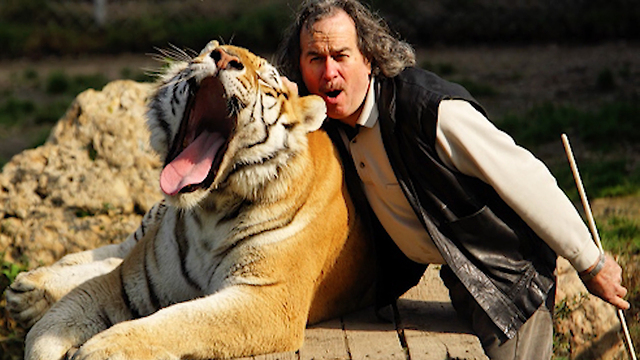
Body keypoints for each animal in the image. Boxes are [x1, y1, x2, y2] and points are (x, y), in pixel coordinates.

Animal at [5, 40, 376, 360]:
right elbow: (50, 326)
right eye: (211, 50)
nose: (223, 57)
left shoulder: (267, 296)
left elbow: (181, 319)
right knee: (118, 250)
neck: (211, 210)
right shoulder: (133, 280)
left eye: (266, 80)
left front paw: (103, 350)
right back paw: (31, 286)